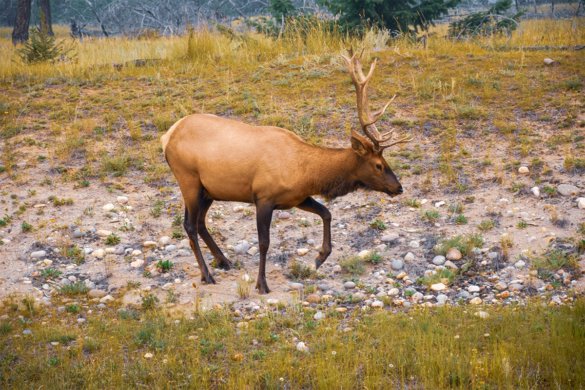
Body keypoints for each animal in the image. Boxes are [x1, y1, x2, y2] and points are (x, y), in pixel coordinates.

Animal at [161, 49, 410, 292]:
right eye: (378, 165)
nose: (398, 187)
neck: (306, 172)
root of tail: (167, 136)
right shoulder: (263, 197)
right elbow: (264, 242)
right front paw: (262, 284)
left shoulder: (297, 198)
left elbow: (326, 213)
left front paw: (320, 257)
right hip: (189, 180)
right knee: (190, 225)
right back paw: (207, 274)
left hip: (209, 190)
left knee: (200, 222)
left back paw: (223, 260)